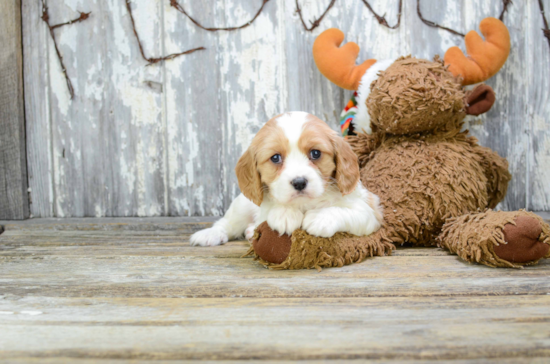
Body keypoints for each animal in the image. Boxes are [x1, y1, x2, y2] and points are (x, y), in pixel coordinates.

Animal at [192, 111, 386, 247]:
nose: (299, 182)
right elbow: (270, 209)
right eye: (275, 158)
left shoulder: (368, 212)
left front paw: (320, 218)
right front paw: (285, 214)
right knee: (227, 223)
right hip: (242, 205)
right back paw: (210, 234)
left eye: (316, 153)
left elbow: (343, 211)